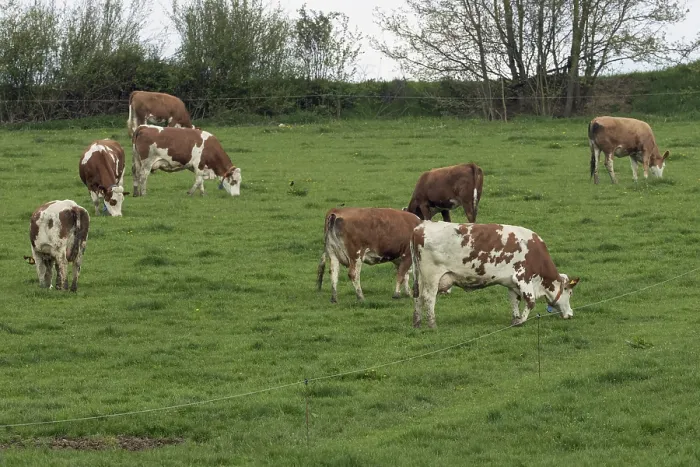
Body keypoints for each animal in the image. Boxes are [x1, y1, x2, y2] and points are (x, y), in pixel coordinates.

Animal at [411, 221, 579, 328]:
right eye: (570, 293)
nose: (570, 314)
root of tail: (420, 227)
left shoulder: (512, 283)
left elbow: (514, 300)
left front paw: (515, 319)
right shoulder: (523, 277)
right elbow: (530, 301)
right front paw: (521, 321)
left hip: (420, 277)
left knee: (418, 297)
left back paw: (417, 323)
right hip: (432, 276)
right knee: (429, 298)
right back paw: (432, 324)